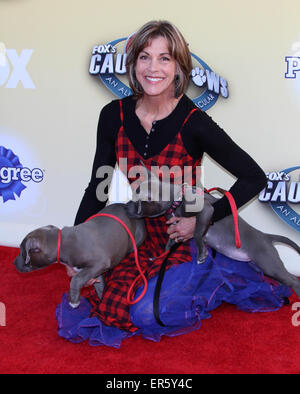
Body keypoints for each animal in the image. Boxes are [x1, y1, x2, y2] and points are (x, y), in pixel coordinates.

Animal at [12, 203, 146, 308]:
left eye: (22, 250)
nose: (13, 263)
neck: (62, 242)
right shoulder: (94, 271)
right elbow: (98, 285)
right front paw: (100, 300)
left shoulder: (100, 263)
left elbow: (76, 279)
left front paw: (74, 301)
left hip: (137, 238)